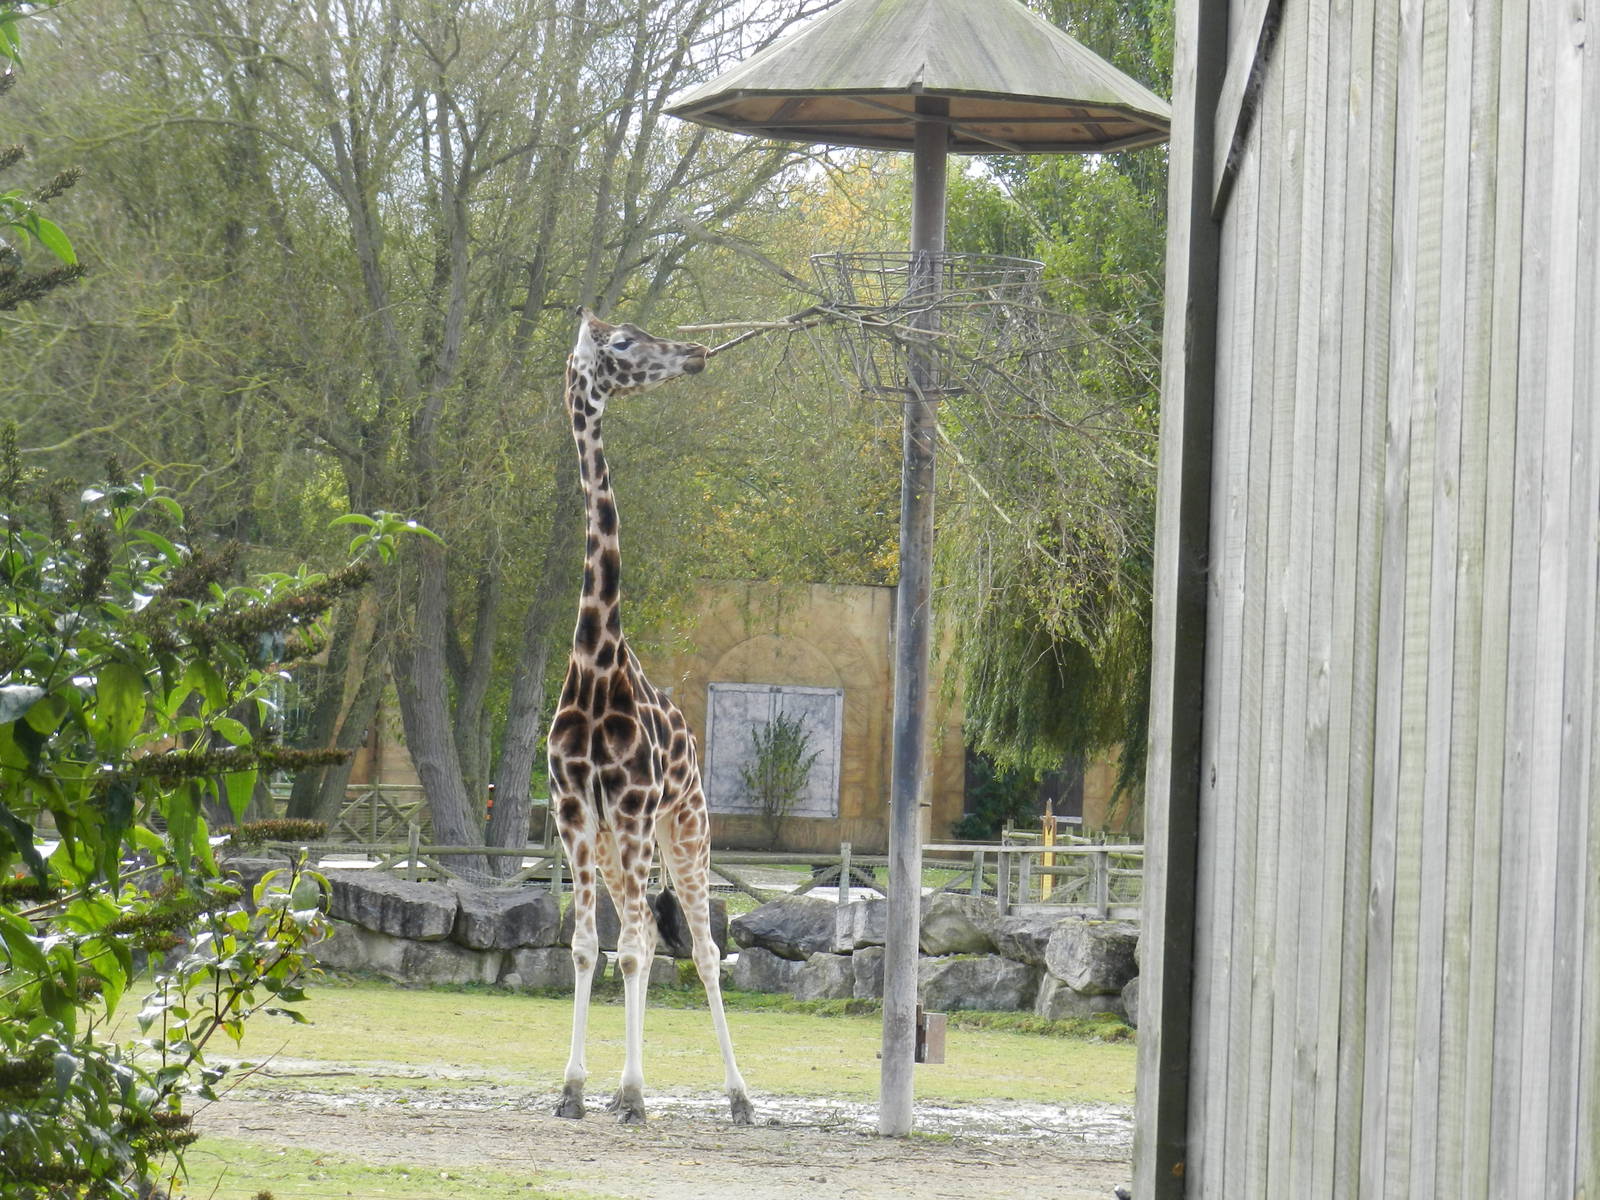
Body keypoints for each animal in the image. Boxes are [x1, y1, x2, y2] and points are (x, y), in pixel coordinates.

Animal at [547, 307, 753, 1127]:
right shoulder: (575, 813)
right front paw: (574, 1090)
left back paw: (739, 1098)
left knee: (698, 949)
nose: (695, 353)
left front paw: (632, 1094)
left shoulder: (634, 809)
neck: (597, 663)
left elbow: (635, 951)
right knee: (639, 933)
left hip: (686, 826)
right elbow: (587, 948)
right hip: (617, 844)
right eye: (623, 342)